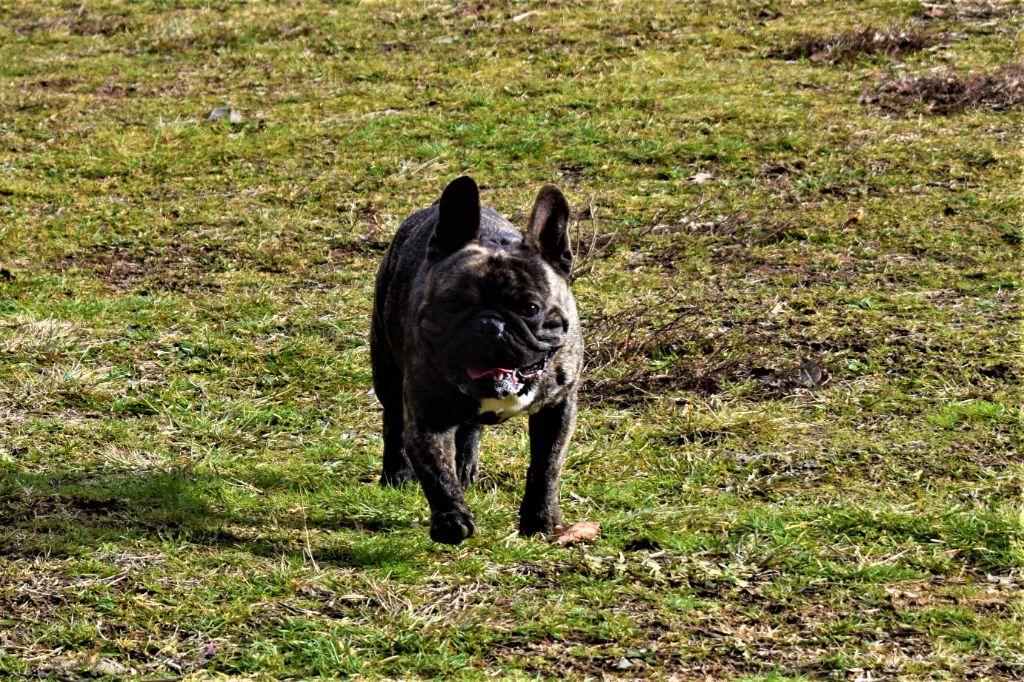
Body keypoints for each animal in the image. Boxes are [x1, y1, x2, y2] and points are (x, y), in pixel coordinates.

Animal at [370, 176, 583, 544]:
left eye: (530, 308)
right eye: (451, 305)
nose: (489, 324)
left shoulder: (558, 408)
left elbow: (546, 466)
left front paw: (540, 519)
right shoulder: (428, 416)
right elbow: (436, 470)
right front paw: (452, 519)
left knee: (470, 427)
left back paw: (466, 464)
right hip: (386, 371)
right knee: (393, 420)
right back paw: (396, 473)